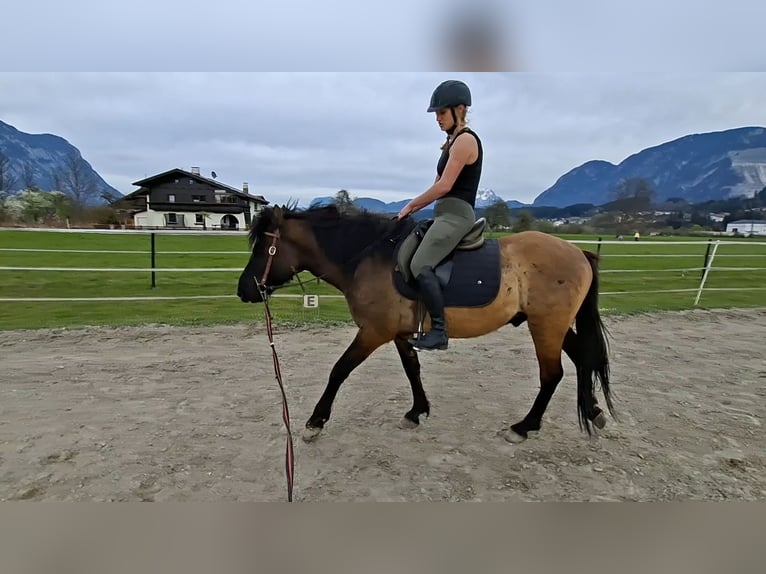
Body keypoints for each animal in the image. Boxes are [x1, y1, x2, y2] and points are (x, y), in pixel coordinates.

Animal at [237, 203, 615, 444]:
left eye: (263, 248)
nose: (244, 290)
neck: (368, 257)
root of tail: (580, 253)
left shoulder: (373, 332)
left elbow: (339, 370)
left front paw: (315, 422)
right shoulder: (399, 333)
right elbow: (412, 369)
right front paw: (417, 411)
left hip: (545, 326)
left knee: (552, 374)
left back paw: (524, 427)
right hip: (553, 325)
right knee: (582, 358)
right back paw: (594, 411)